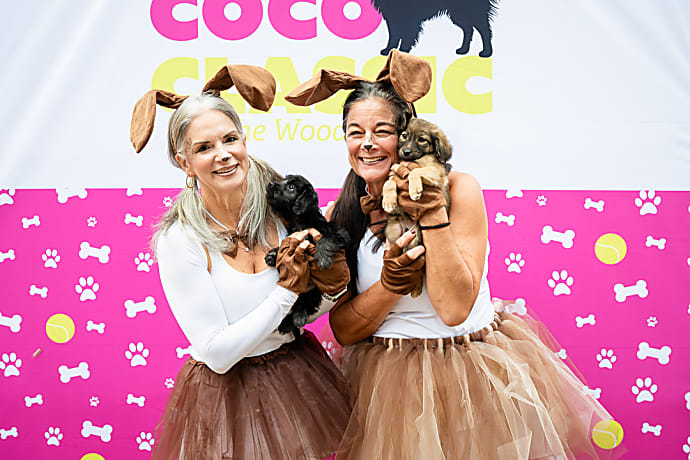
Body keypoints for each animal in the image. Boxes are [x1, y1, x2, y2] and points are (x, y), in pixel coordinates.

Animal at [265, 174, 351, 333]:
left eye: (291, 187)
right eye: (283, 180)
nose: (270, 184)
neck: (300, 221)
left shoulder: (337, 234)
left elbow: (326, 240)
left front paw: (323, 259)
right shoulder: (294, 236)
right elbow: (285, 245)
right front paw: (273, 254)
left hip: (315, 293)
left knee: (305, 304)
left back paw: (297, 318)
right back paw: (286, 322)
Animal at [370, 0, 498, 57]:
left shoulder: (408, 17)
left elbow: (406, 37)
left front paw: (402, 52)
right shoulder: (393, 16)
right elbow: (393, 36)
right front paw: (388, 50)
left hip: (471, 11)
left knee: (485, 30)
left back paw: (486, 52)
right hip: (459, 13)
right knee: (468, 29)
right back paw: (463, 49)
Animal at [381, 117, 452, 297]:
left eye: (422, 139)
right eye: (404, 135)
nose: (405, 152)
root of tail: (407, 228)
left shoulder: (435, 171)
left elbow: (414, 172)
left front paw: (414, 190)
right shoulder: (394, 171)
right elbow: (388, 182)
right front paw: (388, 200)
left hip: (415, 239)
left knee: (417, 263)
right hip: (394, 233)